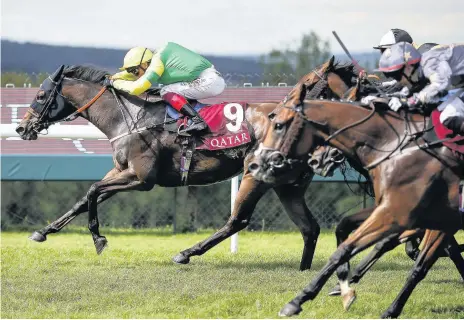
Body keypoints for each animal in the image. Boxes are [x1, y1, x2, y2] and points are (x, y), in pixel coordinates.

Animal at [13, 60, 356, 270]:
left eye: (41, 95)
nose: (21, 127)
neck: (130, 117)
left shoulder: (141, 178)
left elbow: (94, 190)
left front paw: (98, 239)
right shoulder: (122, 171)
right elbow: (86, 197)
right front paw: (42, 231)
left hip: (255, 175)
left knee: (238, 220)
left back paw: (186, 253)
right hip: (289, 186)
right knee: (309, 228)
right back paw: (305, 271)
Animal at [250, 83, 464, 318]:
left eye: (278, 125)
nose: (255, 163)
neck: (394, 146)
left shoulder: (398, 215)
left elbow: (347, 250)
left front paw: (298, 300)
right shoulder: (410, 215)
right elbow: (349, 235)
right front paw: (345, 283)